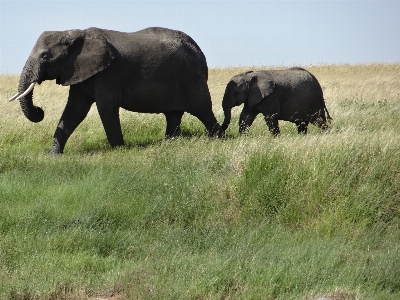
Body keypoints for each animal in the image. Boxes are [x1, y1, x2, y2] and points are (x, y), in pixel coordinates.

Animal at [9, 26, 220, 154]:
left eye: (45, 56)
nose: (39, 110)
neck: (73, 33)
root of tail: (199, 51)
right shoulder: (79, 71)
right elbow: (74, 110)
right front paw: (53, 154)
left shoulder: (109, 73)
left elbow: (106, 108)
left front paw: (119, 150)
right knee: (174, 114)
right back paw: (169, 143)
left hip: (191, 78)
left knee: (203, 110)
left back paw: (219, 138)